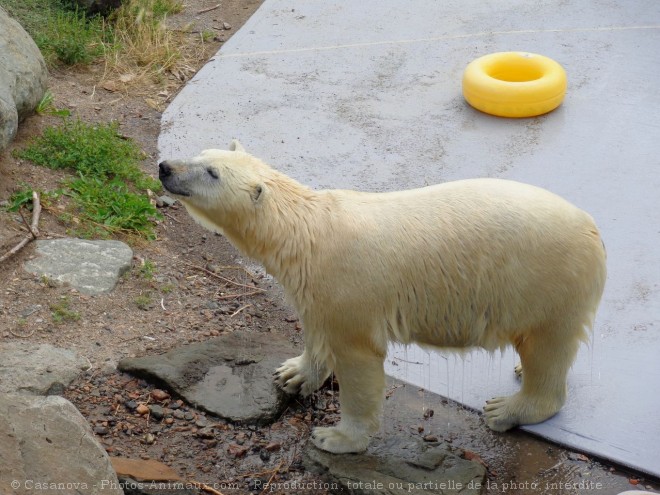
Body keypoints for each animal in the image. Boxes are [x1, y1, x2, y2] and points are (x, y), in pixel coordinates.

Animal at [160, 141, 608, 456]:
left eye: (211, 172)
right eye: (201, 153)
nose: (165, 167)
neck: (305, 233)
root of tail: (593, 229)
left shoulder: (349, 287)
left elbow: (358, 360)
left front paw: (336, 437)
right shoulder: (317, 288)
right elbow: (316, 329)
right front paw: (292, 373)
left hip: (546, 281)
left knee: (545, 348)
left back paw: (507, 409)